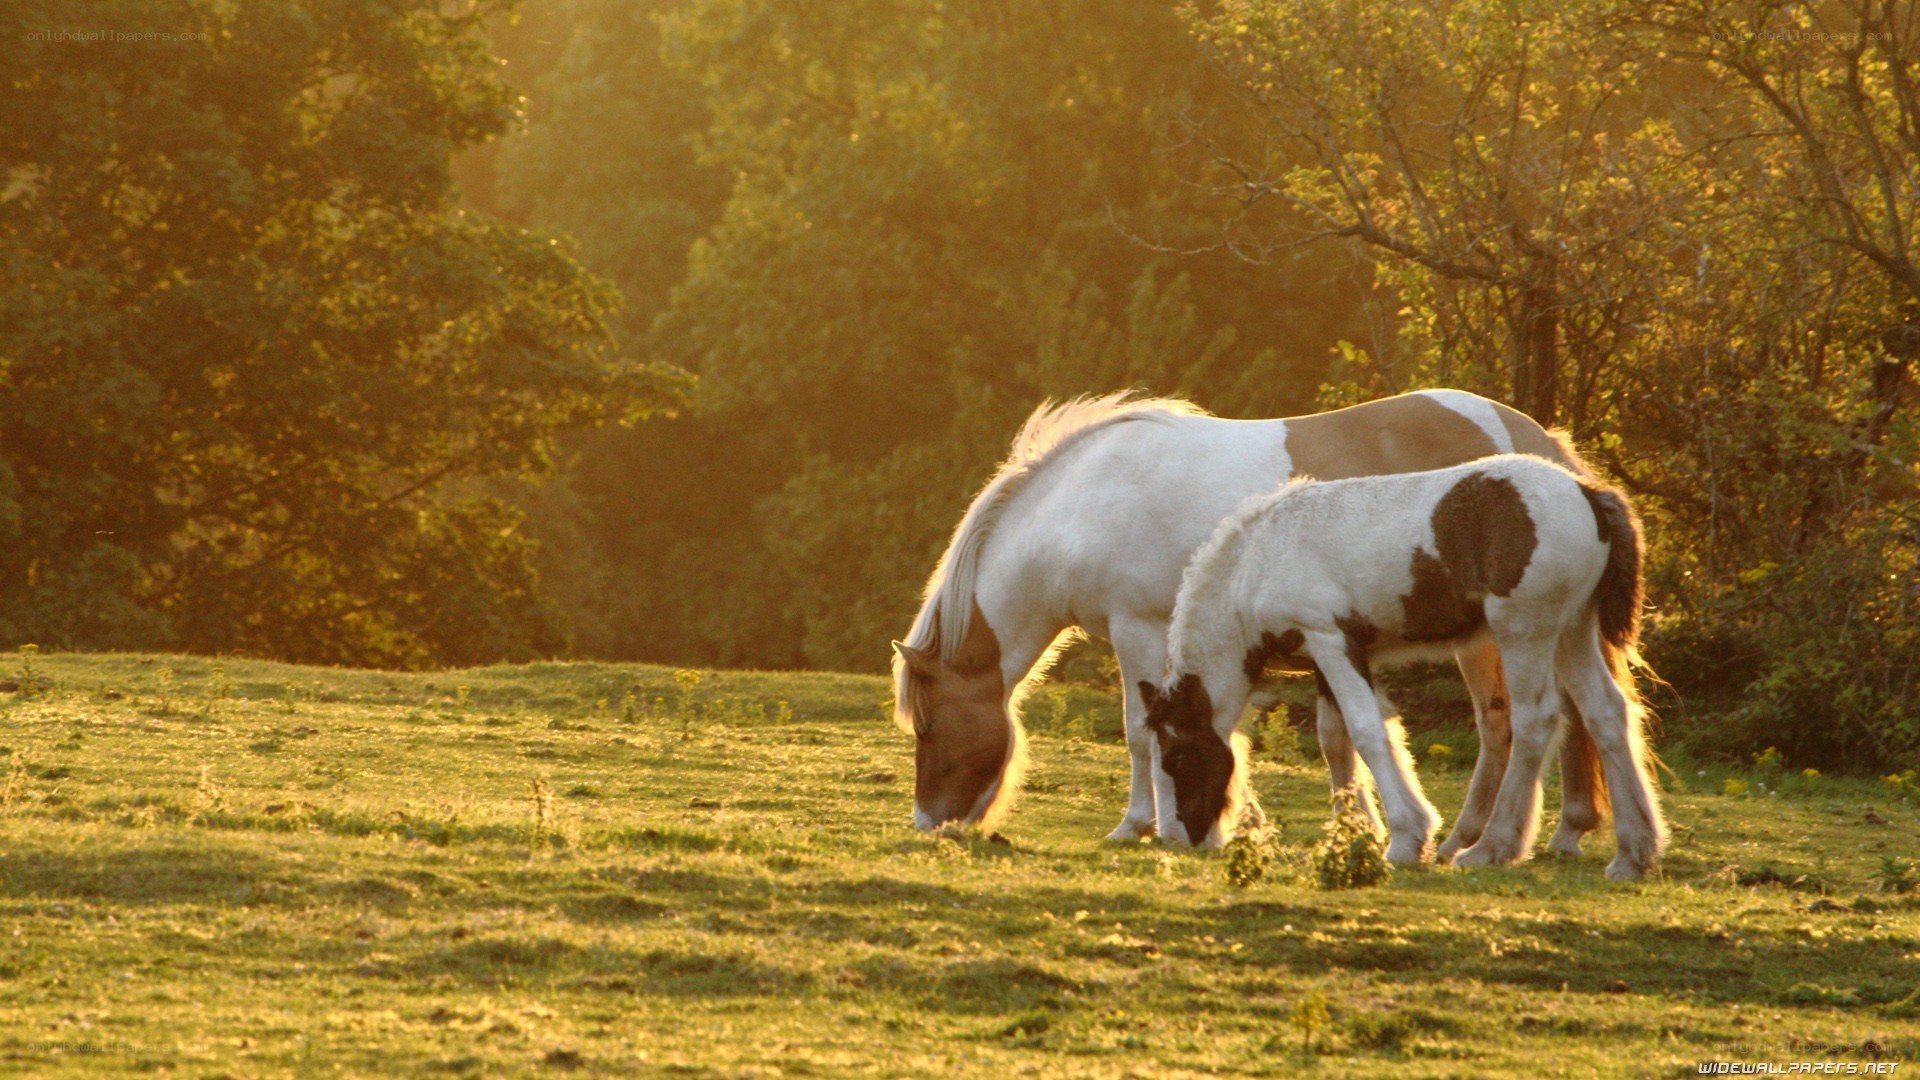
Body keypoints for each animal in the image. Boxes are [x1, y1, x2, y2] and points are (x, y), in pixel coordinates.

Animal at [891, 389, 1619, 859]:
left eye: (927, 728)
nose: (929, 823)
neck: (1083, 504)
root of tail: (1542, 447)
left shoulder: (1137, 629)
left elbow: (1139, 730)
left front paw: (1141, 824)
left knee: (1524, 722)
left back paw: (1513, 836)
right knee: (1547, 718)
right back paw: (1522, 834)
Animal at [1139, 455, 1667, 880]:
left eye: (1177, 757)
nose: (1193, 832)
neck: (1257, 560)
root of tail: (1589, 494)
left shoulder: (1329, 640)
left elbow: (1367, 731)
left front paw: (1406, 838)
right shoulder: (1333, 655)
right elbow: (1339, 740)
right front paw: (1359, 833)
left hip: (1524, 630)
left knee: (1536, 721)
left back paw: (1491, 847)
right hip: (1574, 629)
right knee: (1606, 713)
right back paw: (1633, 854)